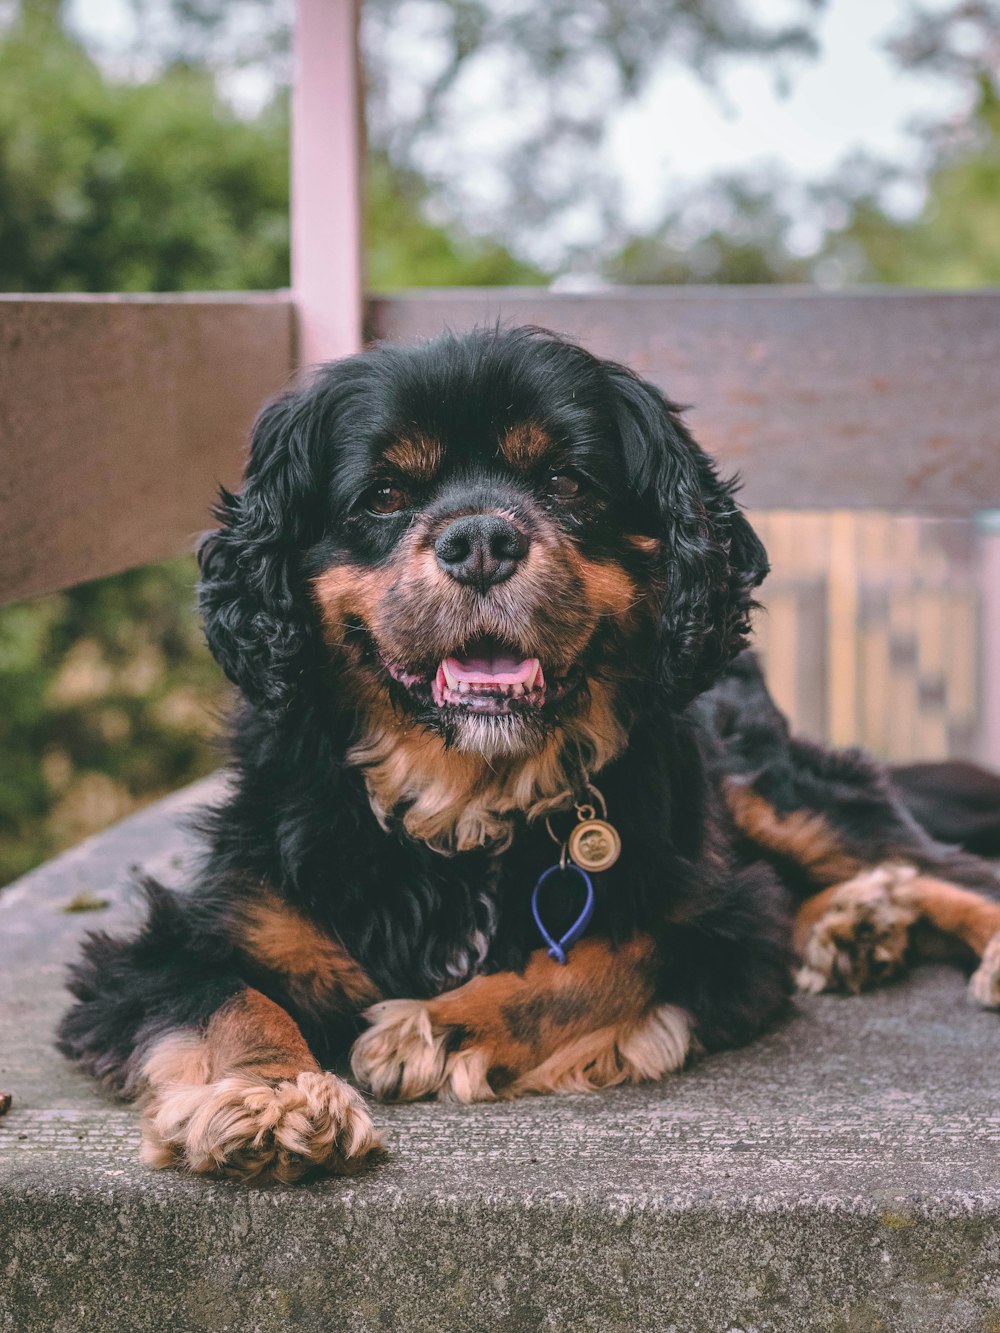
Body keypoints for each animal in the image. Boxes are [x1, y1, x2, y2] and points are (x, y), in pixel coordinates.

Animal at [56, 327, 1000, 1183]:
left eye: (566, 481)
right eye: (384, 494)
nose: (480, 538)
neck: (464, 799)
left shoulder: (720, 922)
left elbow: (607, 958)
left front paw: (438, 1027)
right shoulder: (175, 939)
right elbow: (228, 1000)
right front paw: (272, 1096)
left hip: (767, 784)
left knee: (933, 865)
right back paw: (855, 923)